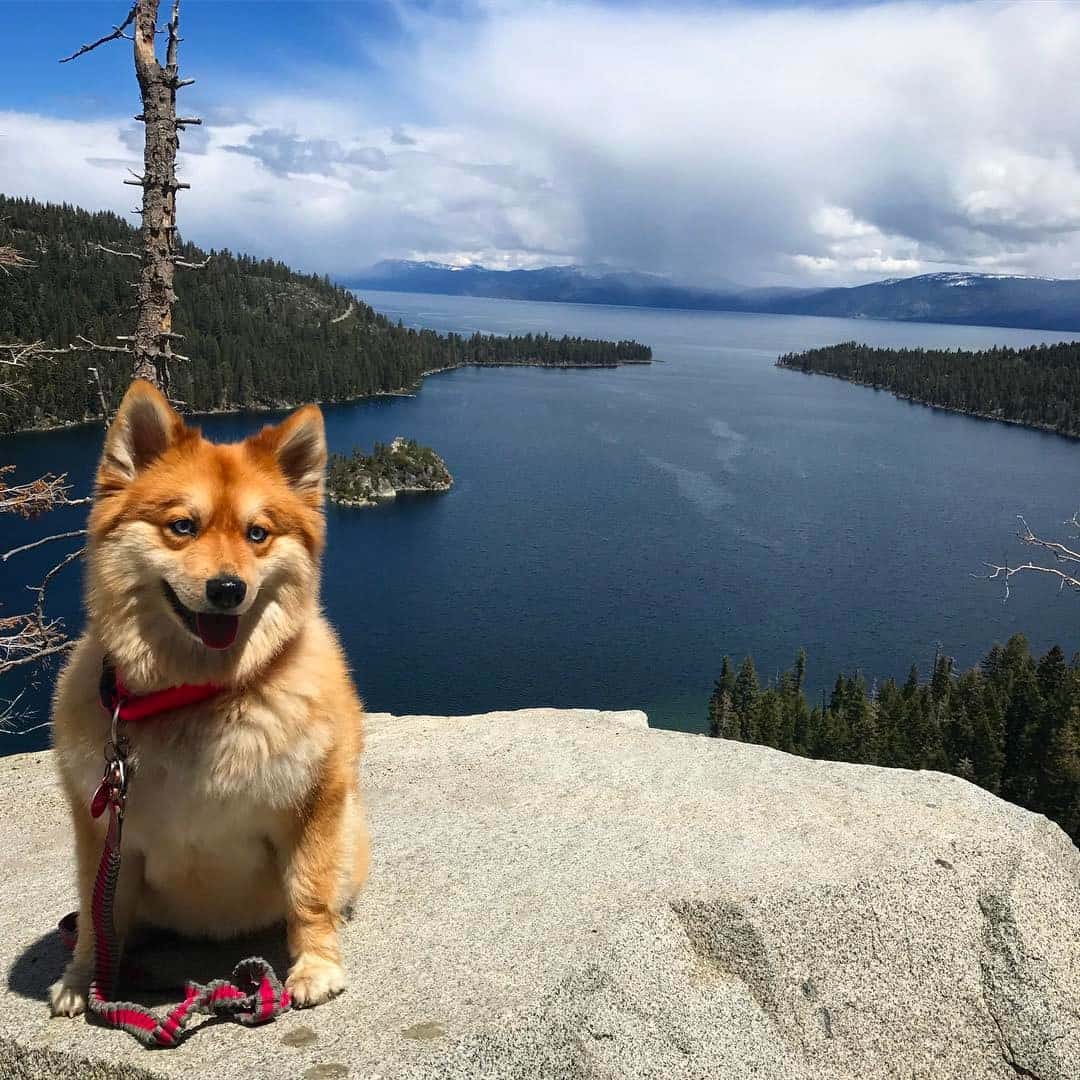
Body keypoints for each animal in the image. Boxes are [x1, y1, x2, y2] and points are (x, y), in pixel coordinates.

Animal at [49, 382, 367, 1019]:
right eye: (182, 526)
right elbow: (99, 919)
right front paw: (84, 978)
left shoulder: (315, 801)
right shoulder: (103, 832)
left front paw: (316, 966)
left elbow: (309, 892)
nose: (227, 589)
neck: (195, 697)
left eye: (257, 533)